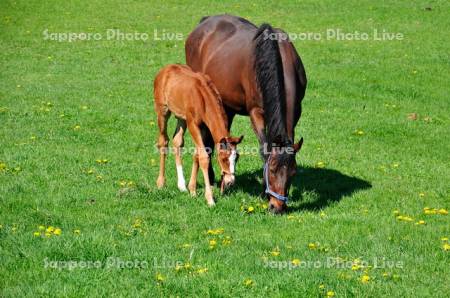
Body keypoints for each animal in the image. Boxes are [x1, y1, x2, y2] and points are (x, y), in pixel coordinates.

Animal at [153, 64, 243, 206]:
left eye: (237, 157)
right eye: (223, 158)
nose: (230, 181)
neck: (202, 97)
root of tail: (165, 70)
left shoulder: (204, 127)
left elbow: (197, 155)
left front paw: (192, 190)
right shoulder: (193, 124)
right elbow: (204, 157)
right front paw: (210, 199)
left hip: (181, 117)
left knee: (177, 141)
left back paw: (181, 185)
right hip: (162, 110)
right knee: (163, 141)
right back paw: (161, 183)